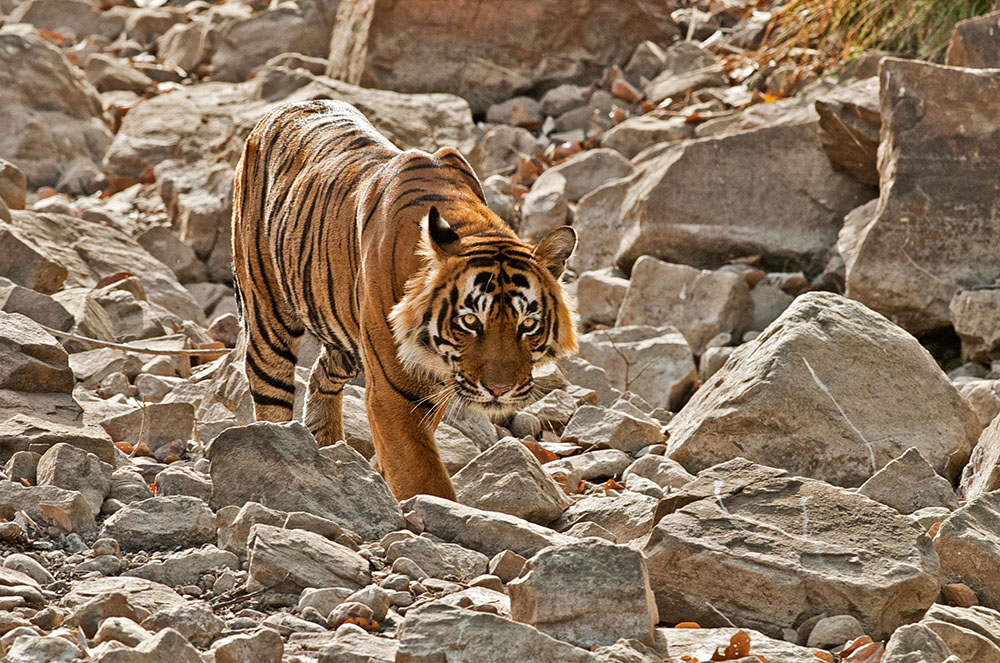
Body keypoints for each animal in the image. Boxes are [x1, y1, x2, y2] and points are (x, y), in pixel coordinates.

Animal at [231, 101, 580, 500]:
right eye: (470, 321)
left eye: (528, 325)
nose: (499, 391)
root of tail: (284, 108)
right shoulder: (392, 390)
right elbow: (423, 475)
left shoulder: (431, 387)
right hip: (268, 321)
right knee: (271, 400)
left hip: (344, 333)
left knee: (322, 373)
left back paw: (327, 448)